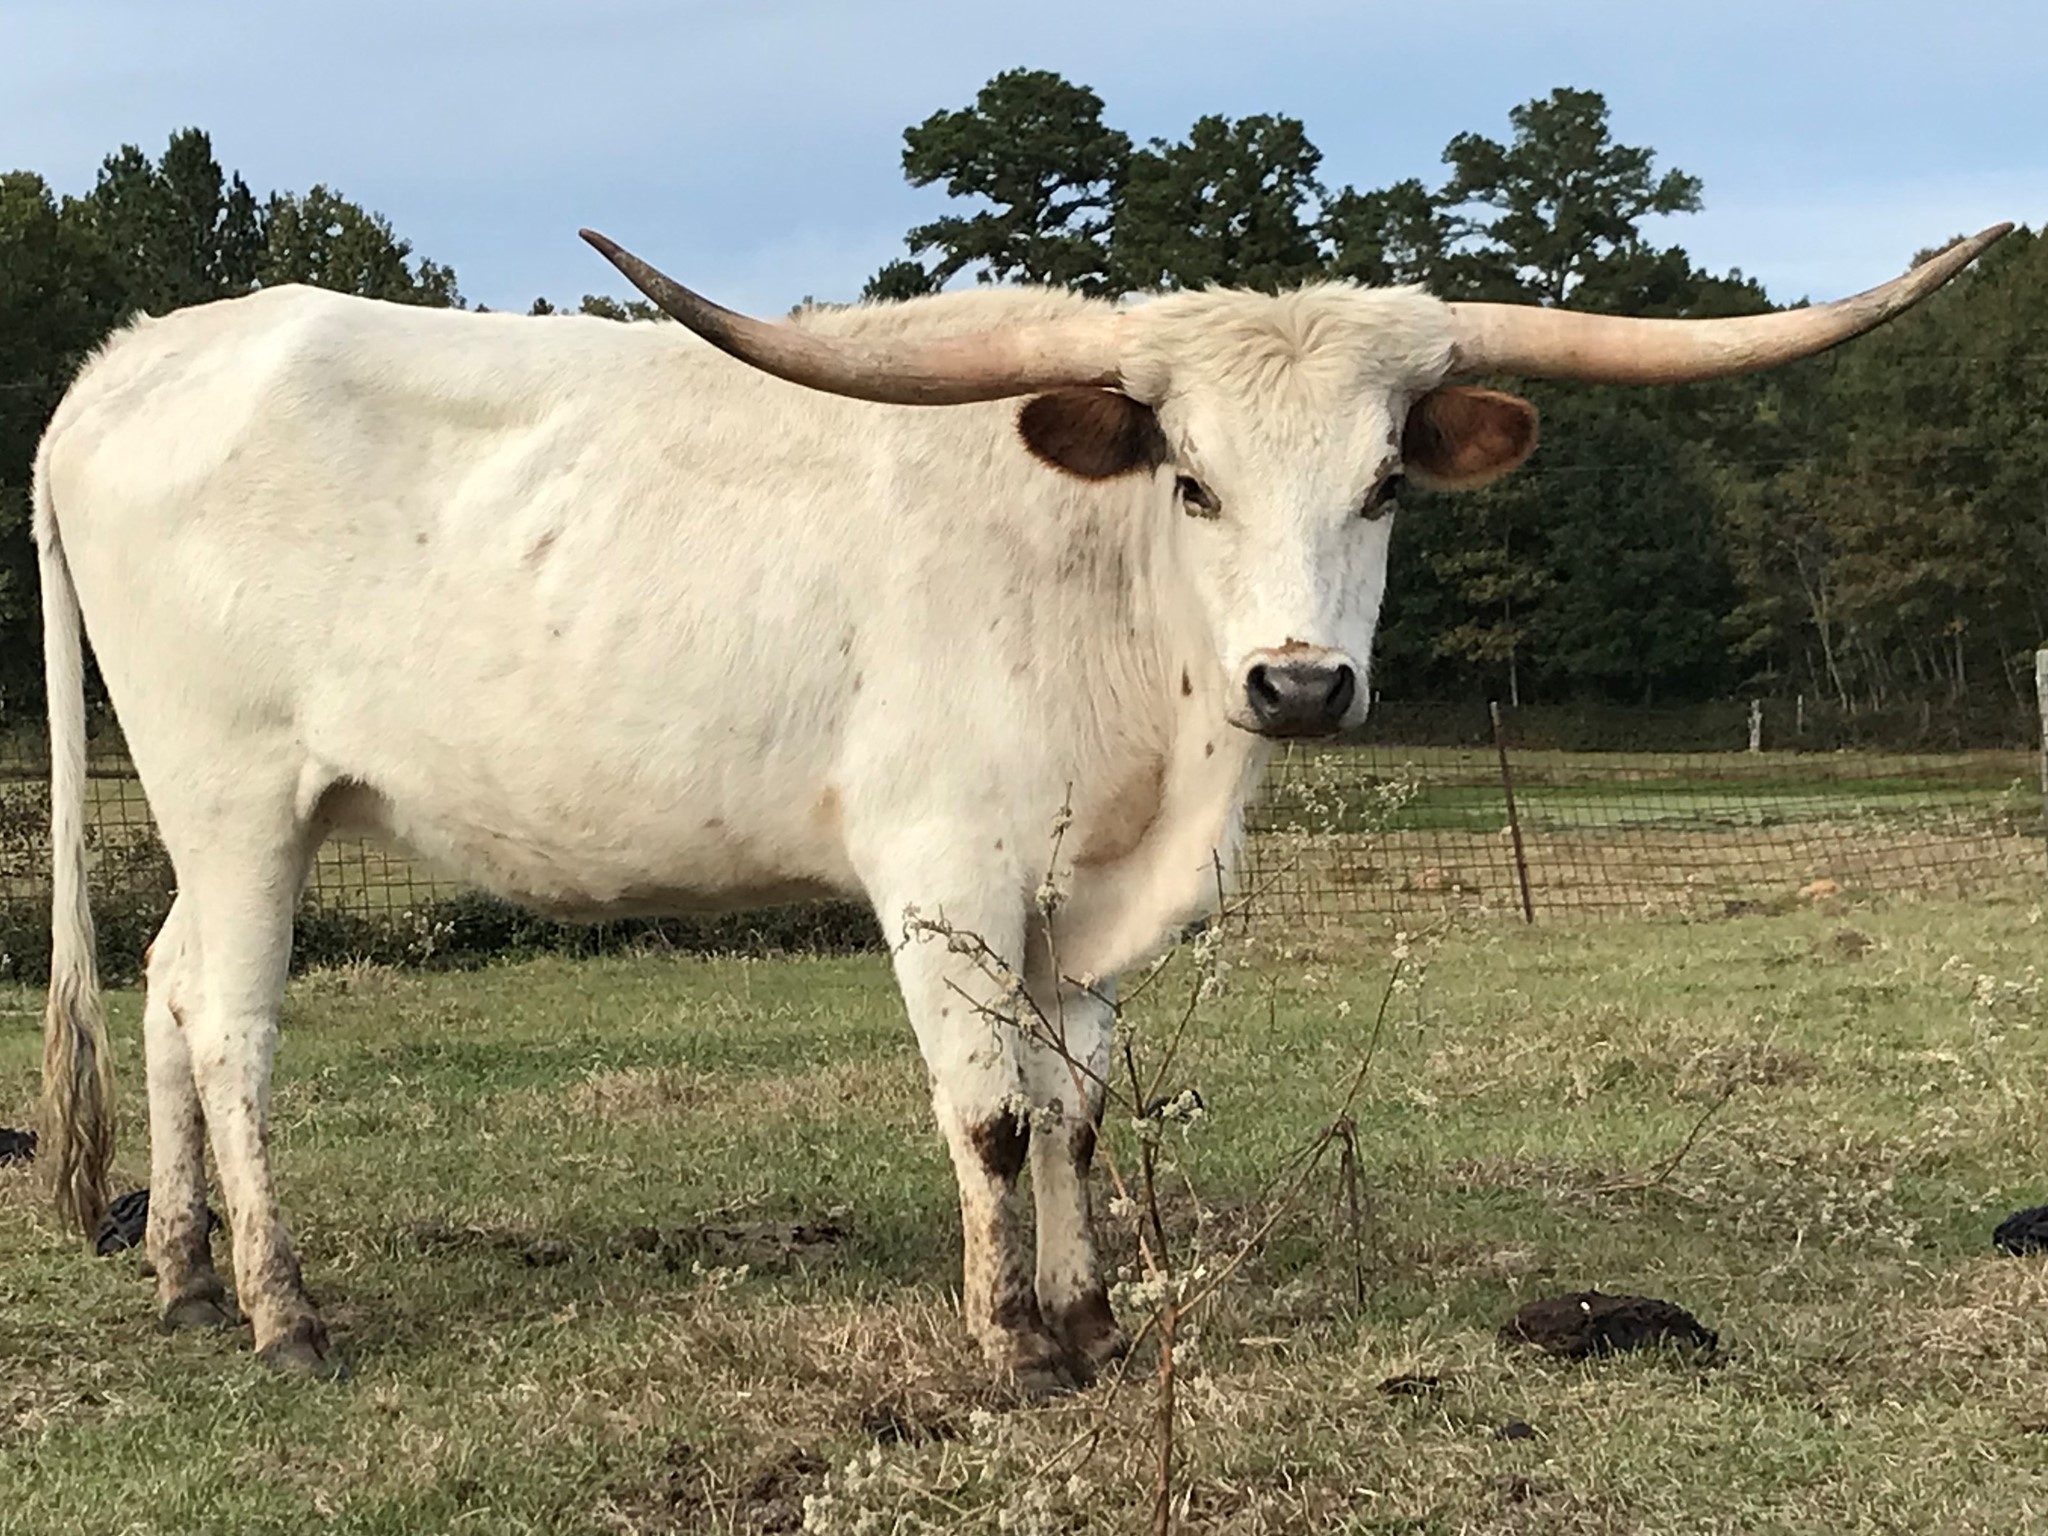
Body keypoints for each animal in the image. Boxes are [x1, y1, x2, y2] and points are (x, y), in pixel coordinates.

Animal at [35, 219, 2008, 1391]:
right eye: (1188, 478)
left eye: (1384, 482)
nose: (1300, 683)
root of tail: (124, 363)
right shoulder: (945, 875)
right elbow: (987, 1114)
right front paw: (1008, 1342)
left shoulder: (1092, 900)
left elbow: (1074, 1109)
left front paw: (1085, 1311)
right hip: (236, 790)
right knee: (235, 1031)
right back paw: (283, 1310)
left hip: (236, 818)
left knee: (168, 991)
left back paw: (187, 1277)